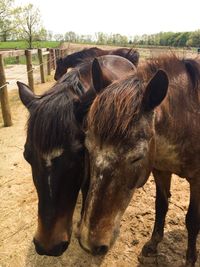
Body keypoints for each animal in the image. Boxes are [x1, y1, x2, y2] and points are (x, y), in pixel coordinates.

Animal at [78, 55, 200, 266]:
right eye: (88, 148)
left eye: (137, 157)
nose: (90, 244)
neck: (189, 118)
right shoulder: (160, 171)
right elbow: (161, 205)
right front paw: (153, 244)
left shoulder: (197, 181)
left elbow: (192, 220)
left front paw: (190, 260)